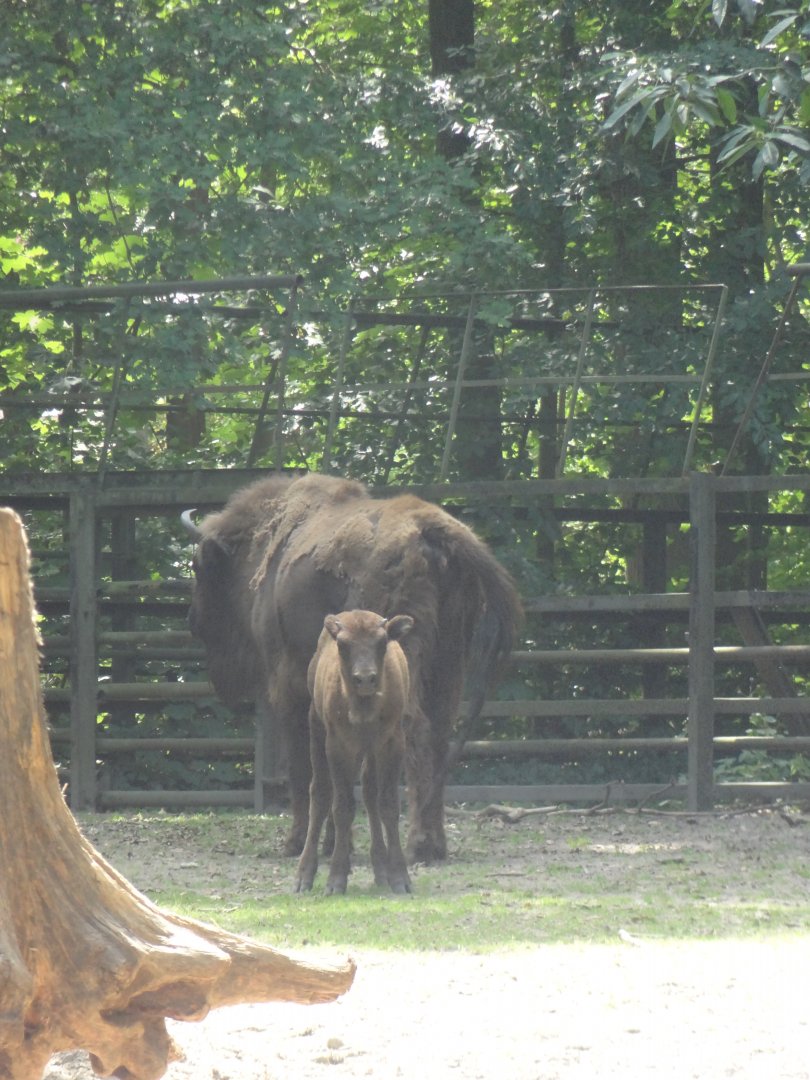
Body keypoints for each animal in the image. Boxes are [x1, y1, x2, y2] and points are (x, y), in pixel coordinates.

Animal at [182, 472, 522, 863]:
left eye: (200, 568)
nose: (193, 621)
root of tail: (431, 530)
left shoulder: (289, 686)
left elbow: (304, 766)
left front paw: (297, 842)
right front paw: (332, 842)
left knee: (415, 728)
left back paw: (418, 844)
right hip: (450, 659)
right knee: (439, 734)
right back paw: (435, 843)